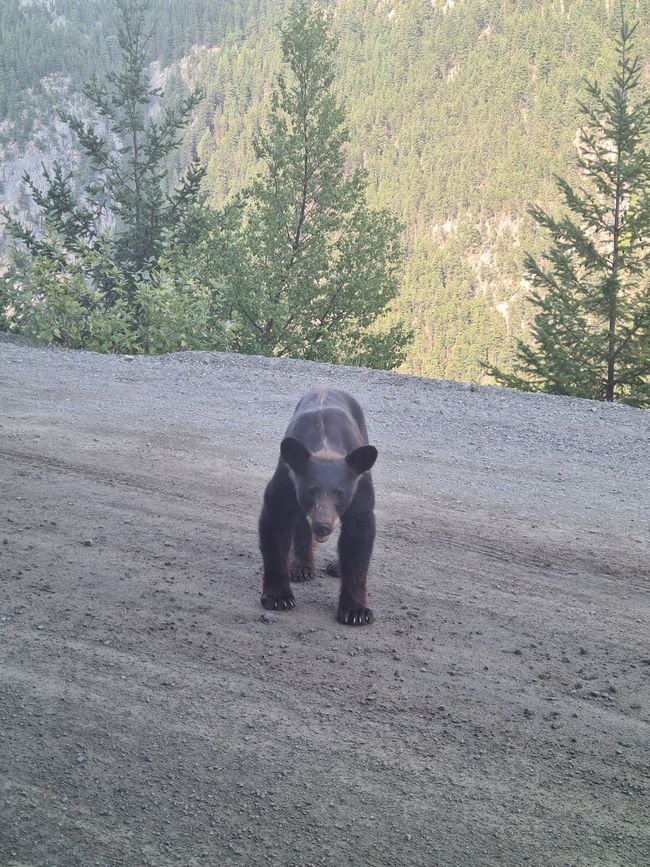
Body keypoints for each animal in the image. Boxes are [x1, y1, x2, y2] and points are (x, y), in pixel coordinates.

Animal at [258, 386, 378, 624]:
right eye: (310, 490)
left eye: (340, 493)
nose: (323, 527)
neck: (325, 446)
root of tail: (327, 387)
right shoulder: (286, 480)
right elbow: (274, 523)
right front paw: (279, 597)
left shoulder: (360, 488)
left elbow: (359, 536)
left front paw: (355, 611)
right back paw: (301, 567)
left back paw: (336, 567)